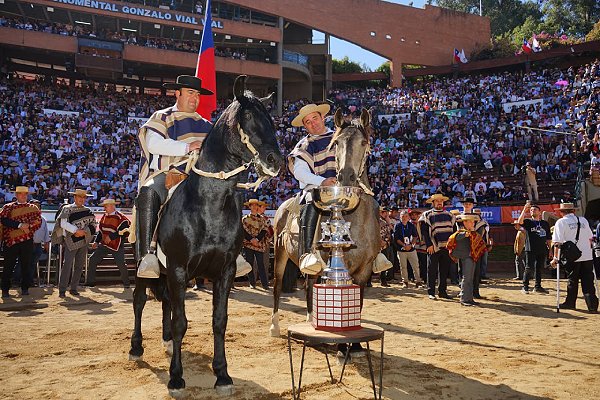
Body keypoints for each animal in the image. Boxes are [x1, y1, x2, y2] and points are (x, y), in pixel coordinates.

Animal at [128, 75, 284, 396]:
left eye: (271, 120)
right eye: (248, 117)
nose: (275, 160)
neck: (208, 205)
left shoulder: (223, 272)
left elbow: (219, 321)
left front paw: (222, 375)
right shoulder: (178, 268)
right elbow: (181, 323)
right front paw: (176, 378)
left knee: (165, 302)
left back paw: (164, 341)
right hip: (146, 267)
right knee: (139, 300)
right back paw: (136, 348)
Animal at [270, 108, 380, 338]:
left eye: (364, 142)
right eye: (336, 143)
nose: (345, 177)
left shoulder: (363, 272)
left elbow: (358, 305)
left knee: (308, 285)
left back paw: (311, 320)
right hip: (280, 252)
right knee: (277, 285)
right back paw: (274, 326)